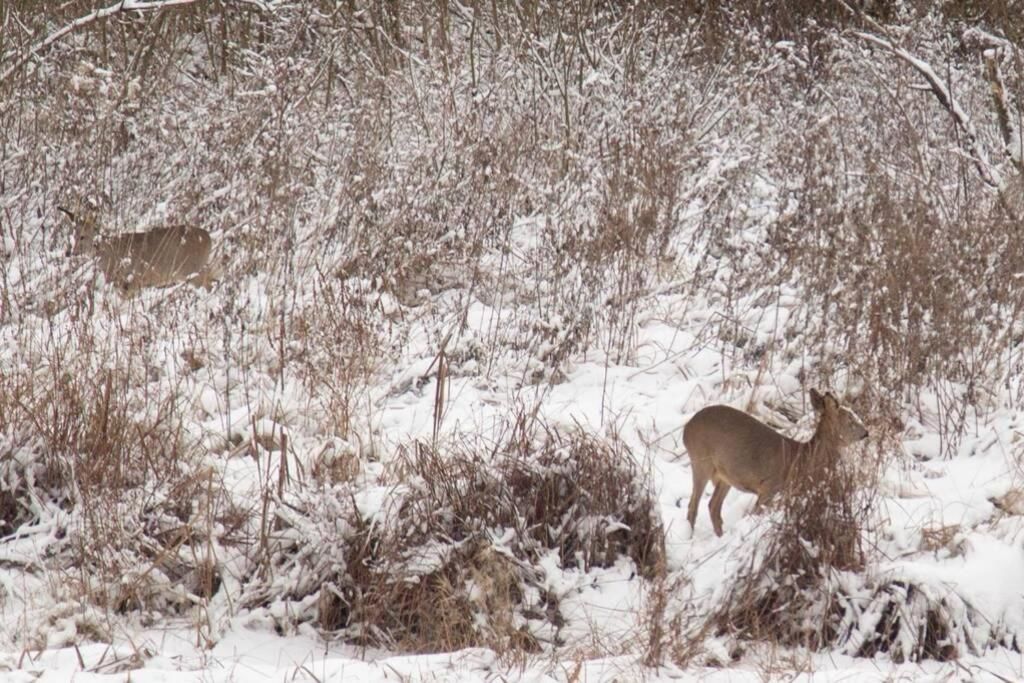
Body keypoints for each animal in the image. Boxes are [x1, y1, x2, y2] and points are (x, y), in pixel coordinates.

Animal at [60, 205, 214, 296]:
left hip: (190, 269)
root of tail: (208, 238)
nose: (69, 253)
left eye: (82, 236)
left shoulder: (132, 281)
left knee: (209, 284)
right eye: (72, 235)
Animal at [684, 389, 868, 540]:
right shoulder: (769, 486)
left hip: (725, 477)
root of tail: (686, 429)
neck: (803, 460)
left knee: (713, 506)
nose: (866, 432)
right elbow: (756, 514)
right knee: (693, 506)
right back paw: (690, 539)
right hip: (700, 461)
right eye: (850, 419)